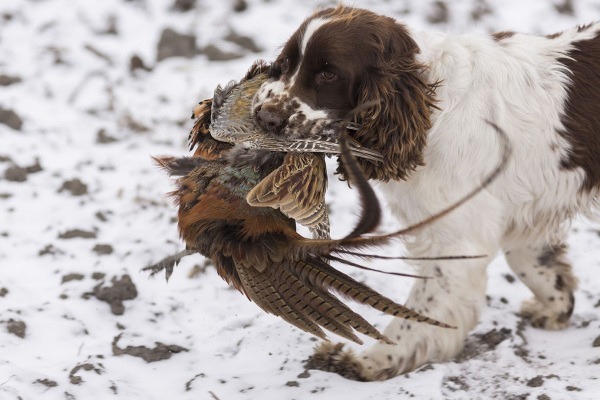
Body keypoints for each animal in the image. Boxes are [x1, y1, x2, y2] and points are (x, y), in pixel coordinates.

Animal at [250, 5, 600, 382]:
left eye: (329, 74)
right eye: (285, 64)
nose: (264, 117)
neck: (428, 110)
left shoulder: (454, 238)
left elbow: (420, 312)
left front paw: (369, 361)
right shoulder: (527, 204)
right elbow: (531, 261)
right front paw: (555, 307)